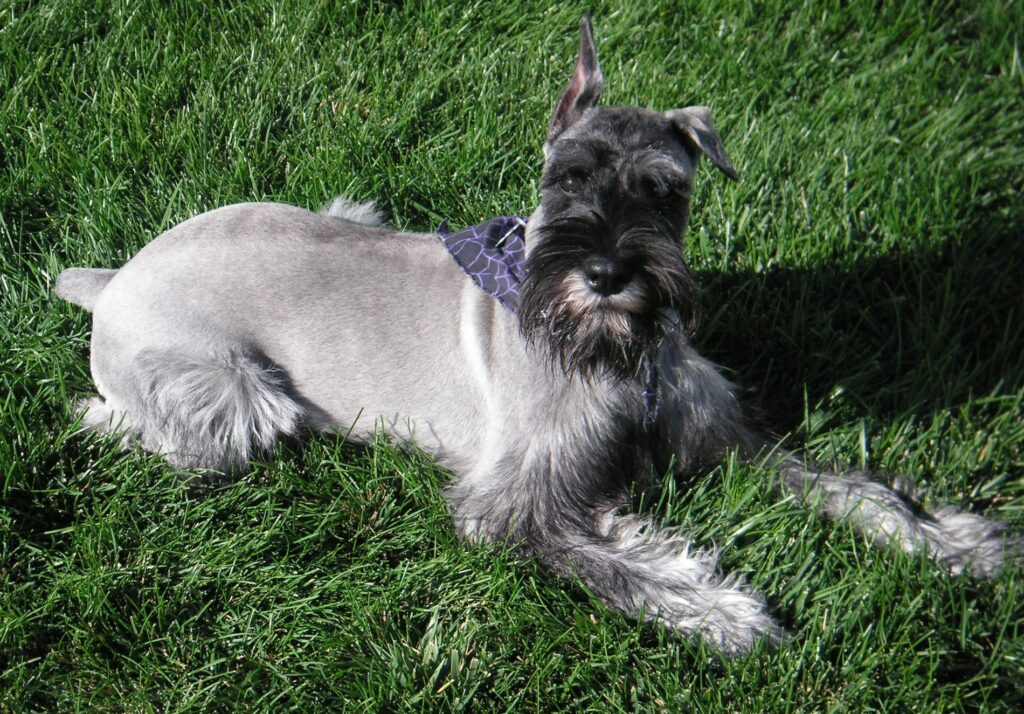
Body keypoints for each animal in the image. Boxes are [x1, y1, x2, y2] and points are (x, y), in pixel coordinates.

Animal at [51, 16, 1011, 655]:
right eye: (567, 178)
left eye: (667, 190)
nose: (610, 273)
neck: (619, 357)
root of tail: (112, 280)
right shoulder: (518, 502)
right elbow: (620, 566)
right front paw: (727, 614)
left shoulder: (727, 438)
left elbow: (854, 490)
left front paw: (956, 542)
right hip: (234, 399)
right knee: (128, 422)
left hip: (347, 212)